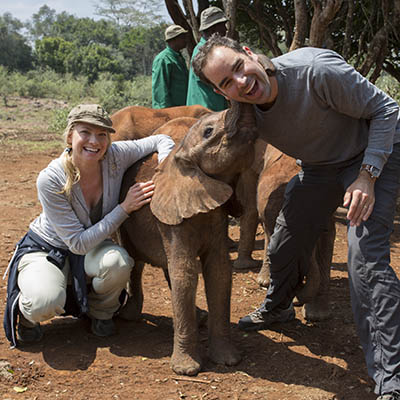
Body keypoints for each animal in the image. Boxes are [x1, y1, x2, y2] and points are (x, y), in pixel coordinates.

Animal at [118, 101, 256, 376]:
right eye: (209, 131)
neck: (180, 152)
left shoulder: (217, 215)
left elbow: (218, 271)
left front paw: (229, 361)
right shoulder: (170, 219)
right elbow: (186, 273)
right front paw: (186, 370)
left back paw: (199, 317)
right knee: (135, 263)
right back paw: (129, 316)